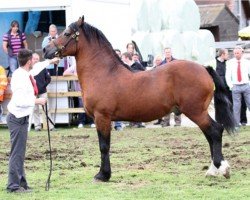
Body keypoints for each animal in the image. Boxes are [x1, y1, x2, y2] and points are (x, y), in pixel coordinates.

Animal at [44, 16, 235, 182]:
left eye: (66, 33)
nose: (46, 50)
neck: (104, 73)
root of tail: (203, 68)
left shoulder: (102, 117)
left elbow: (104, 146)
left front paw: (103, 175)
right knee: (210, 134)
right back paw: (213, 170)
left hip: (195, 111)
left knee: (215, 131)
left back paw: (221, 168)